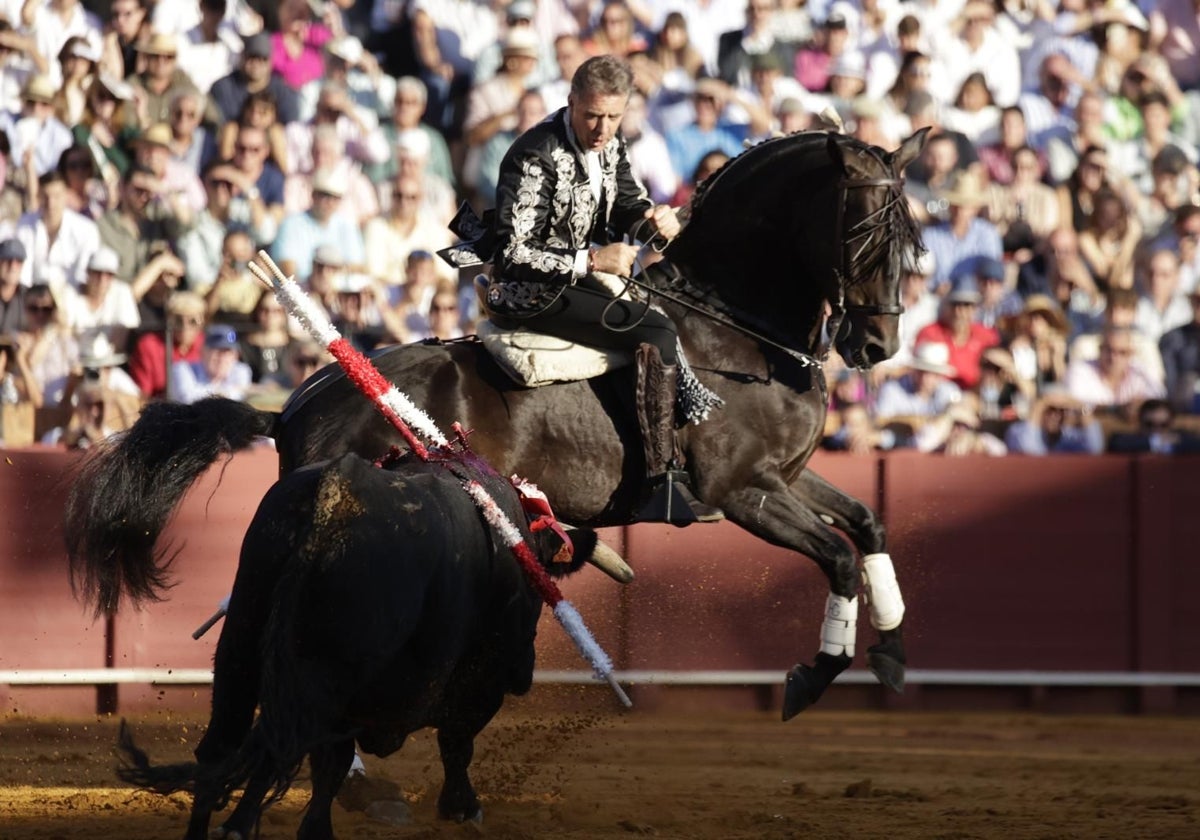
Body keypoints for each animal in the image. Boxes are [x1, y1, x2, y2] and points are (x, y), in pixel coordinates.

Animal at [65, 127, 926, 720]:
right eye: (864, 232)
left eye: (911, 236)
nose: (877, 347)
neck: (735, 332)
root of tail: (298, 405)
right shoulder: (742, 492)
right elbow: (837, 557)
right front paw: (812, 677)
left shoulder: (786, 476)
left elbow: (869, 525)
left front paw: (892, 655)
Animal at [118, 453, 604, 840]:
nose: (526, 672)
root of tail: (335, 490)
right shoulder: (480, 681)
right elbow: (456, 742)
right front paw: (462, 808)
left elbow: (332, 765)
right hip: (322, 671)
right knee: (277, 744)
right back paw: (236, 827)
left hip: (241, 641)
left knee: (221, 747)